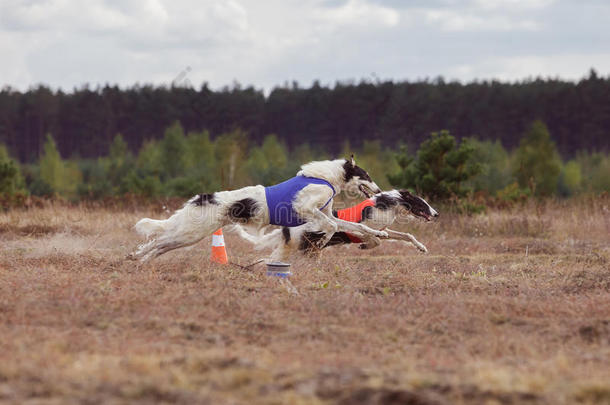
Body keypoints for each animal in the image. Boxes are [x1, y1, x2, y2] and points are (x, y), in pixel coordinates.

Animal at [131, 156, 388, 260]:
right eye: (367, 175)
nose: (378, 190)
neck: (324, 178)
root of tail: (201, 198)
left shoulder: (323, 212)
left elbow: (355, 226)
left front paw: (378, 233)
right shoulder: (304, 208)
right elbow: (333, 225)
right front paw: (322, 241)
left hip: (191, 235)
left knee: (161, 245)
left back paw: (141, 260)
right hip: (191, 232)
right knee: (158, 241)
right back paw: (136, 255)